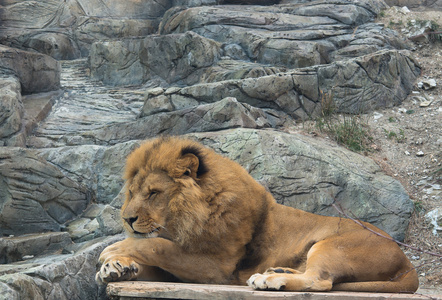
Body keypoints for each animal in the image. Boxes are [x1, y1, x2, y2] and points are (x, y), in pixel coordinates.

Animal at [95, 136, 420, 292]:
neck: (182, 221)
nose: (127, 220)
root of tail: (406, 260)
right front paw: (118, 268)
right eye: (131, 192)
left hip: (331, 244)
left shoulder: (218, 269)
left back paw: (270, 280)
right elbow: (154, 256)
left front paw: (113, 251)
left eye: (153, 193)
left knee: (320, 281)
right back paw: (278, 272)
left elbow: (157, 245)